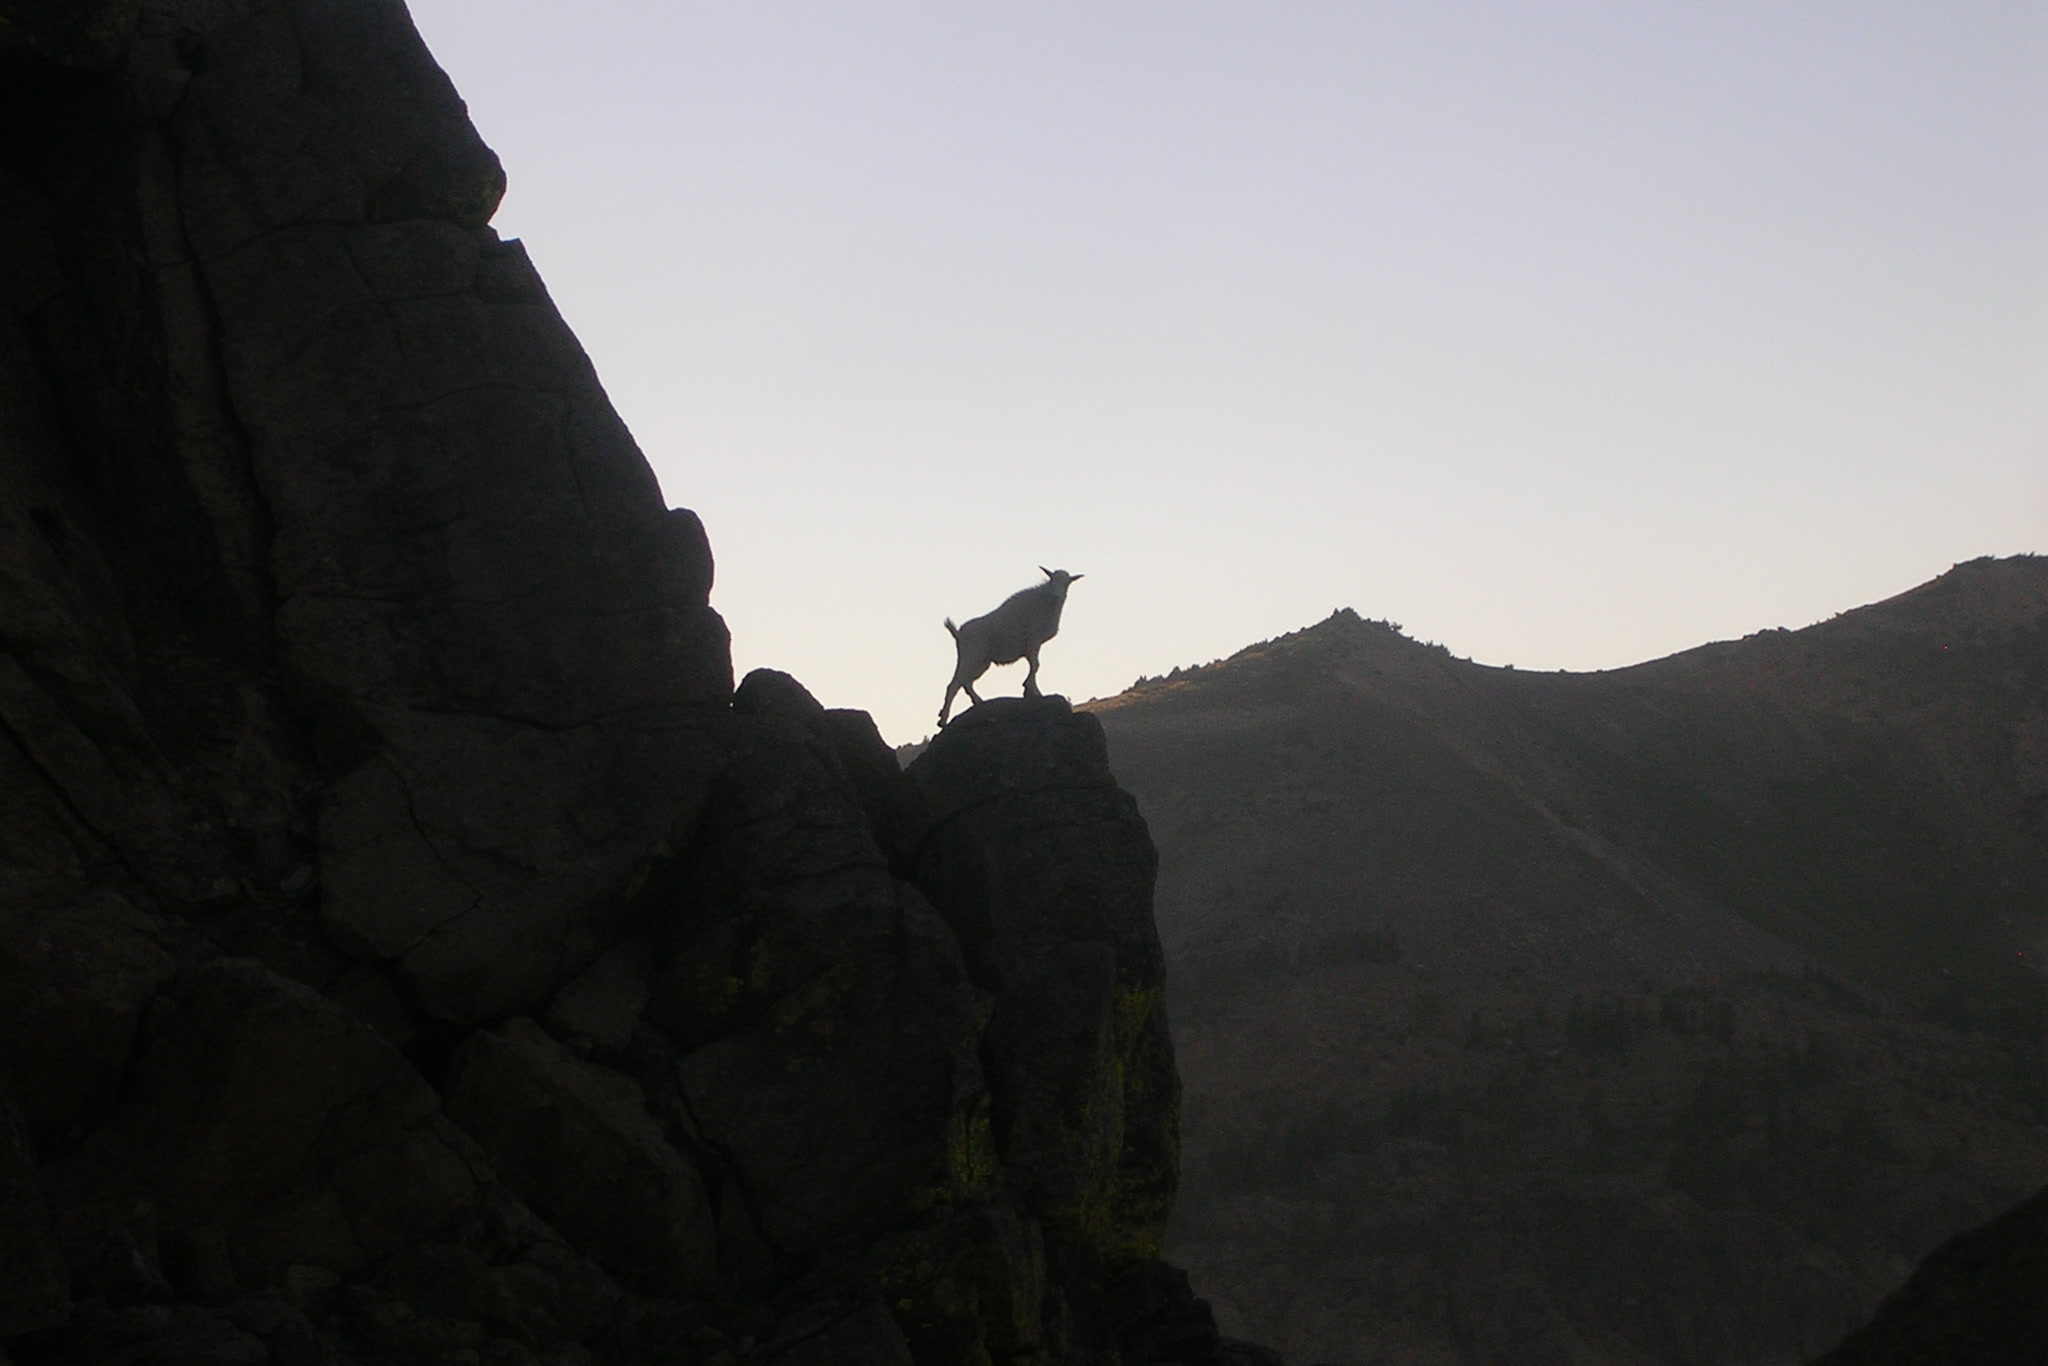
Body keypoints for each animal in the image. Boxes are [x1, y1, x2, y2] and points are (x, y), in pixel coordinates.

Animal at [939, 567, 1083, 727]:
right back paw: (943, 720)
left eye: (1067, 582)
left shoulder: (1033, 646)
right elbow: (1036, 665)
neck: (1044, 604)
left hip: (981, 662)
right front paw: (1032, 691)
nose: (1056, 596)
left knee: (966, 682)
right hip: (971, 656)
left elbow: (1034, 666)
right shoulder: (1033, 642)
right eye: (1052, 579)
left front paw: (1029, 689)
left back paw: (977, 702)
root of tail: (958, 633)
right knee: (954, 685)